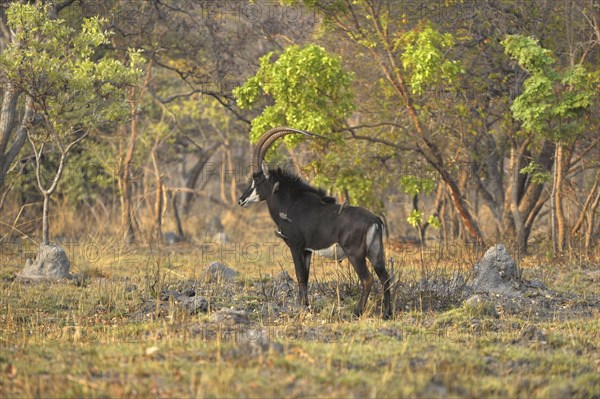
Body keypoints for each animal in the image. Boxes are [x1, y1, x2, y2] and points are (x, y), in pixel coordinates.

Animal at [239, 126, 394, 320]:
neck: (290, 203)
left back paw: (357, 312)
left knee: (367, 279)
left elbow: (299, 275)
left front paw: (300, 308)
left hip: (355, 254)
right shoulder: (307, 250)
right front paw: (306, 306)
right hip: (375, 253)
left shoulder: (296, 245)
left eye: (257, 180)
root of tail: (375, 220)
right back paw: (387, 314)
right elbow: (305, 276)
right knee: (385, 278)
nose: (241, 200)